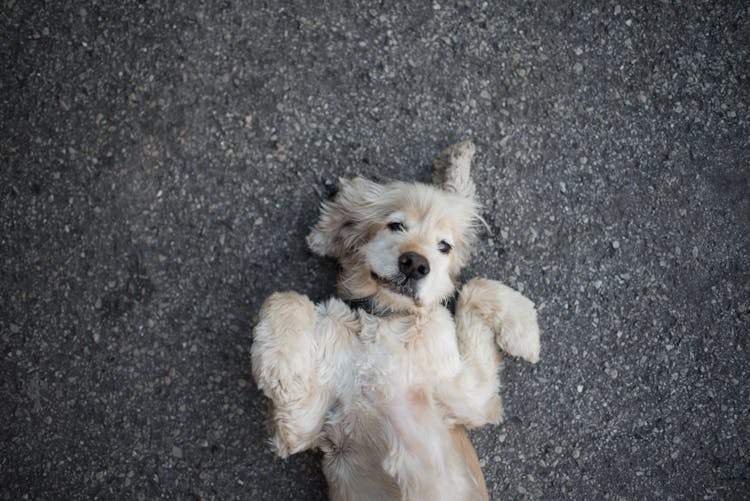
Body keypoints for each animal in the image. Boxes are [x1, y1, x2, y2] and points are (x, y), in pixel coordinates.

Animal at [251, 141, 540, 500]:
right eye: (396, 225)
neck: (385, 320)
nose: (415, 264)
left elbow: (474, 287)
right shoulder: (302, 425)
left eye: (444, 246)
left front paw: (525, 332)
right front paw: (280, 363)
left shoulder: (472, 397)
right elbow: (284, 297)